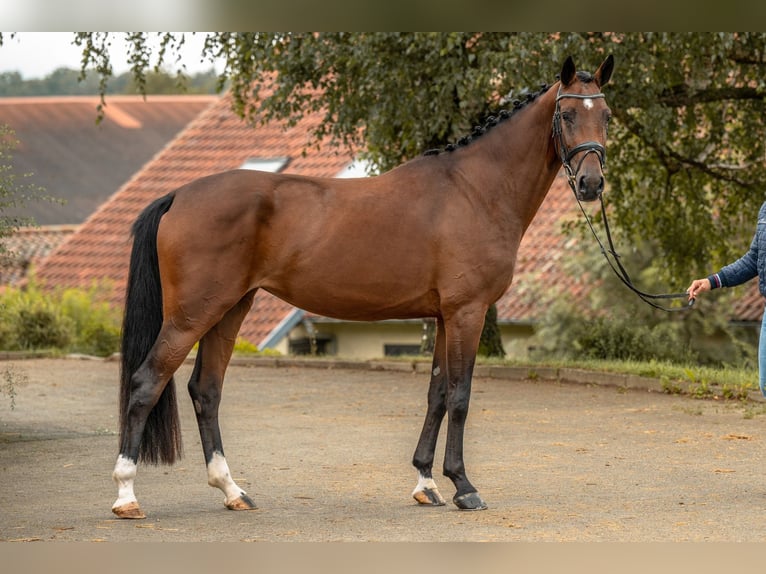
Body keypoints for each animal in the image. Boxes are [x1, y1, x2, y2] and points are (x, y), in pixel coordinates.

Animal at [112, 56, 616, 520]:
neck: (475, 190)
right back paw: (126, 495)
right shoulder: (466, 312)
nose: (591, 183)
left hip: (229, 309)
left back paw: (232, 490)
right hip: (192, 314)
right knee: (146, 381)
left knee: (206, 390)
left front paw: (426, 483)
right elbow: (460, 395)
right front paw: (463, 486)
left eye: (607, 115)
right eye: (567, 114)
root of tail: (179, 195)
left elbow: (436, 394)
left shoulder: (443, 316)